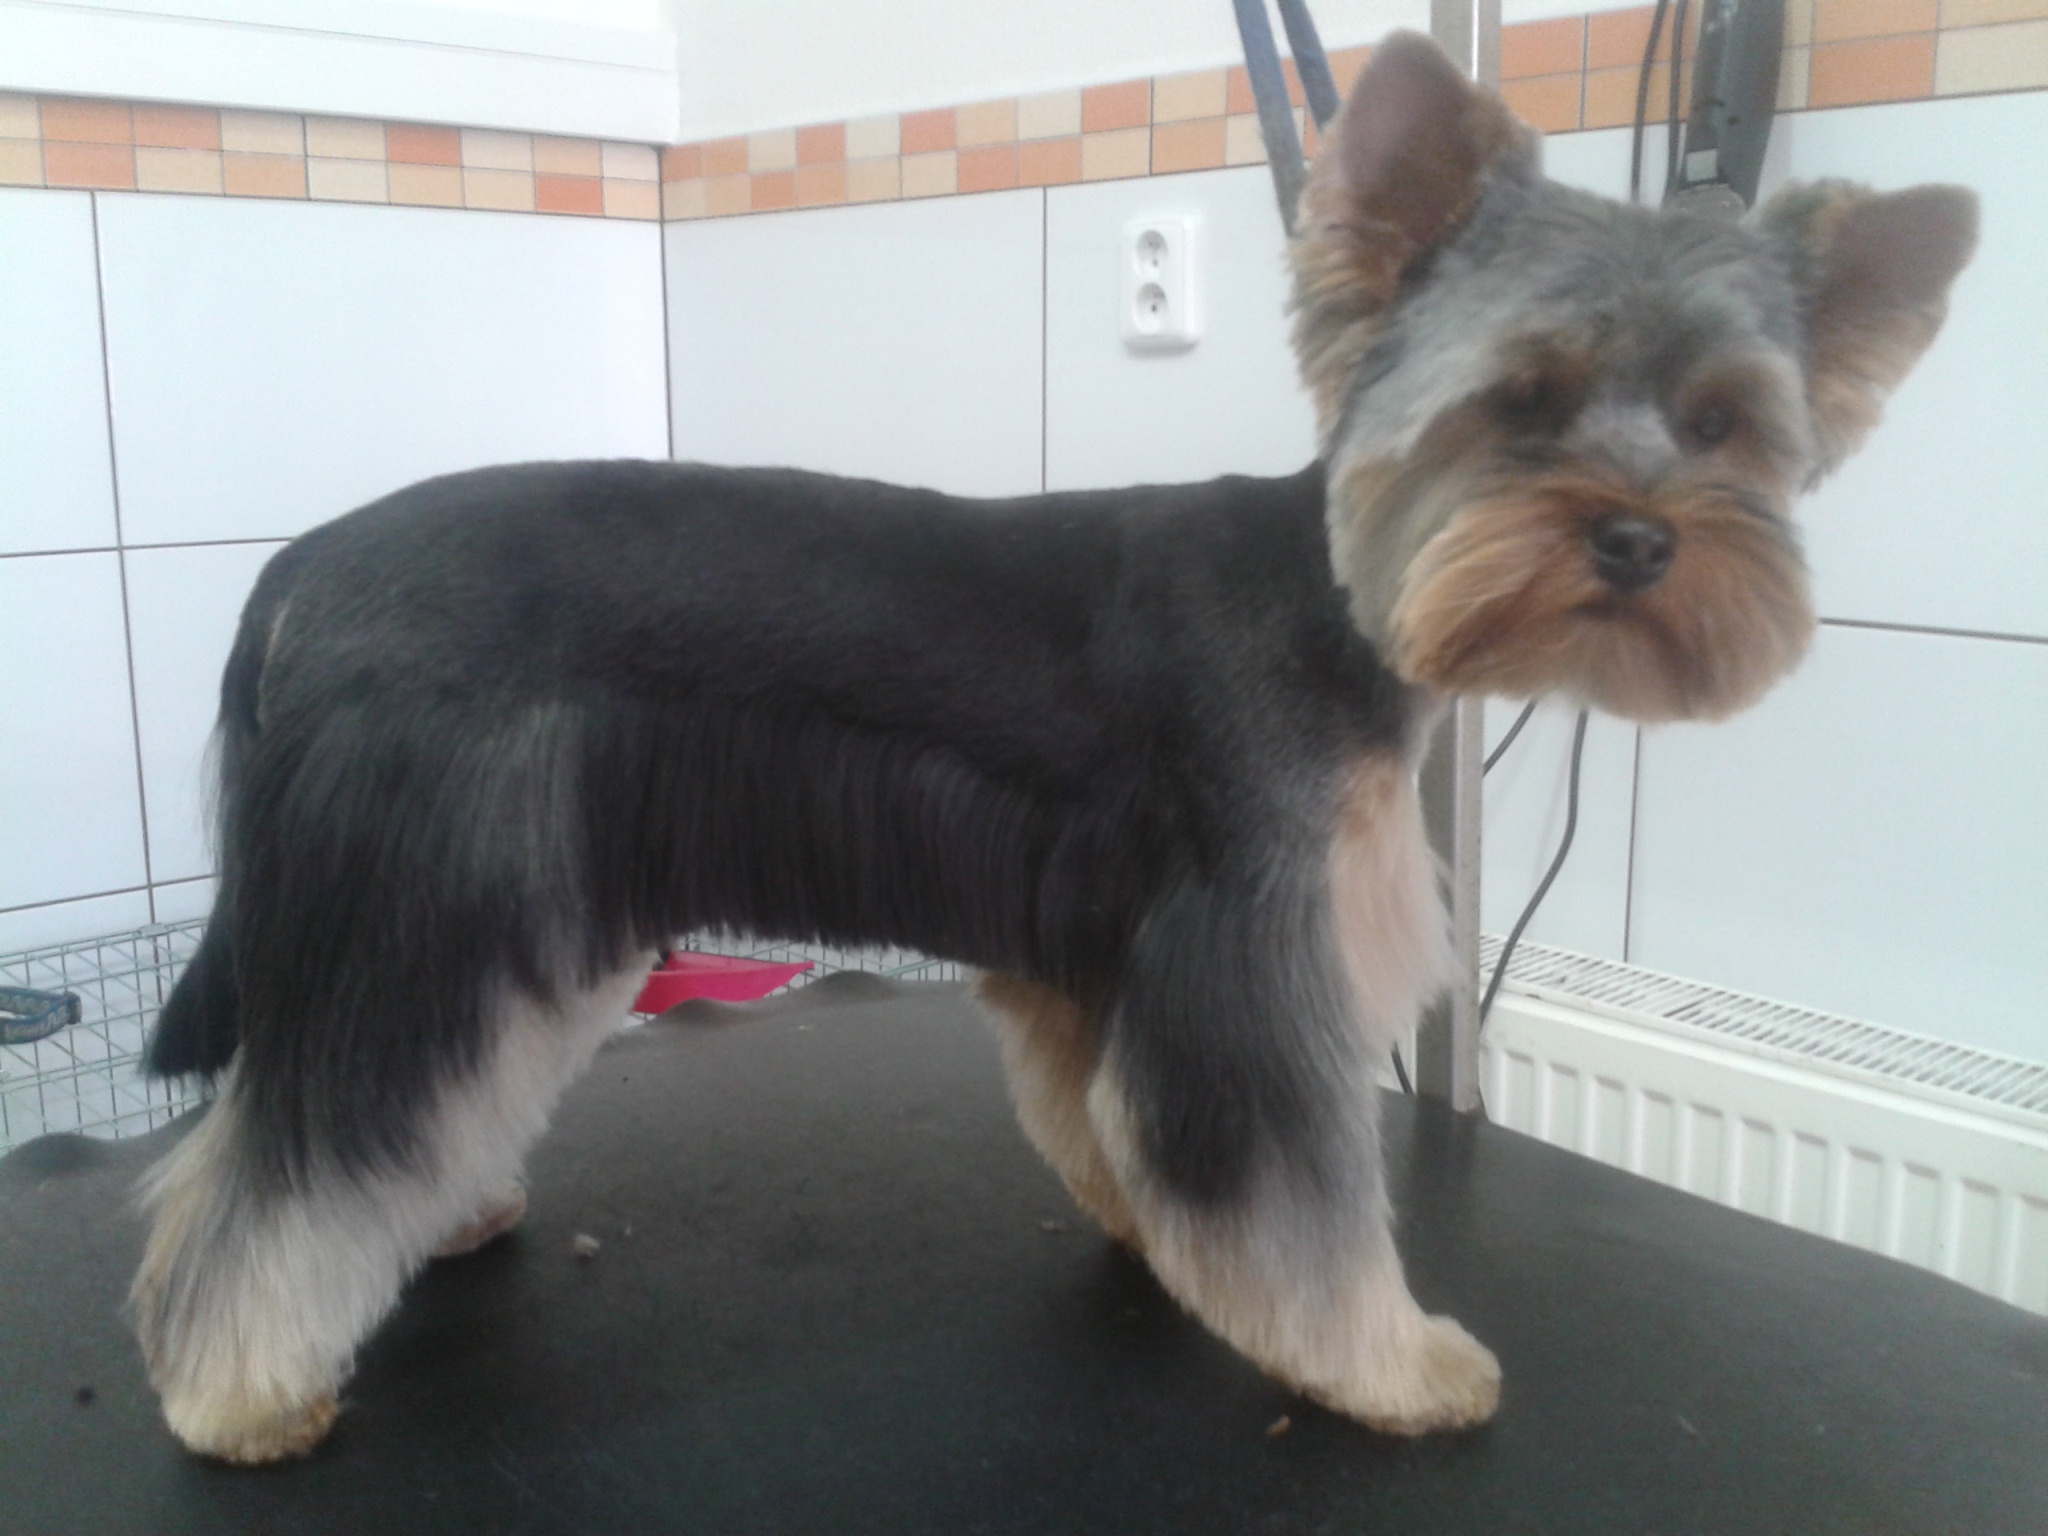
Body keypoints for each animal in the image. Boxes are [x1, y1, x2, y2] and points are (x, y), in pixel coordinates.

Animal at [128, 32, 1976, 1464]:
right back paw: (239, 1391)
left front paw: (1160, 1244)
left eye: (1727, 425)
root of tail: (300, 569)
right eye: (1520, 397)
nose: (1644, 540)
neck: (1339, 602)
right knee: (293, 1157)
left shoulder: (1105, 950)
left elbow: (1119, 1130)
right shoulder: (1259, 952)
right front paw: (1390, 1365)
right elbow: (1305, 1203)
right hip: (432, 895)